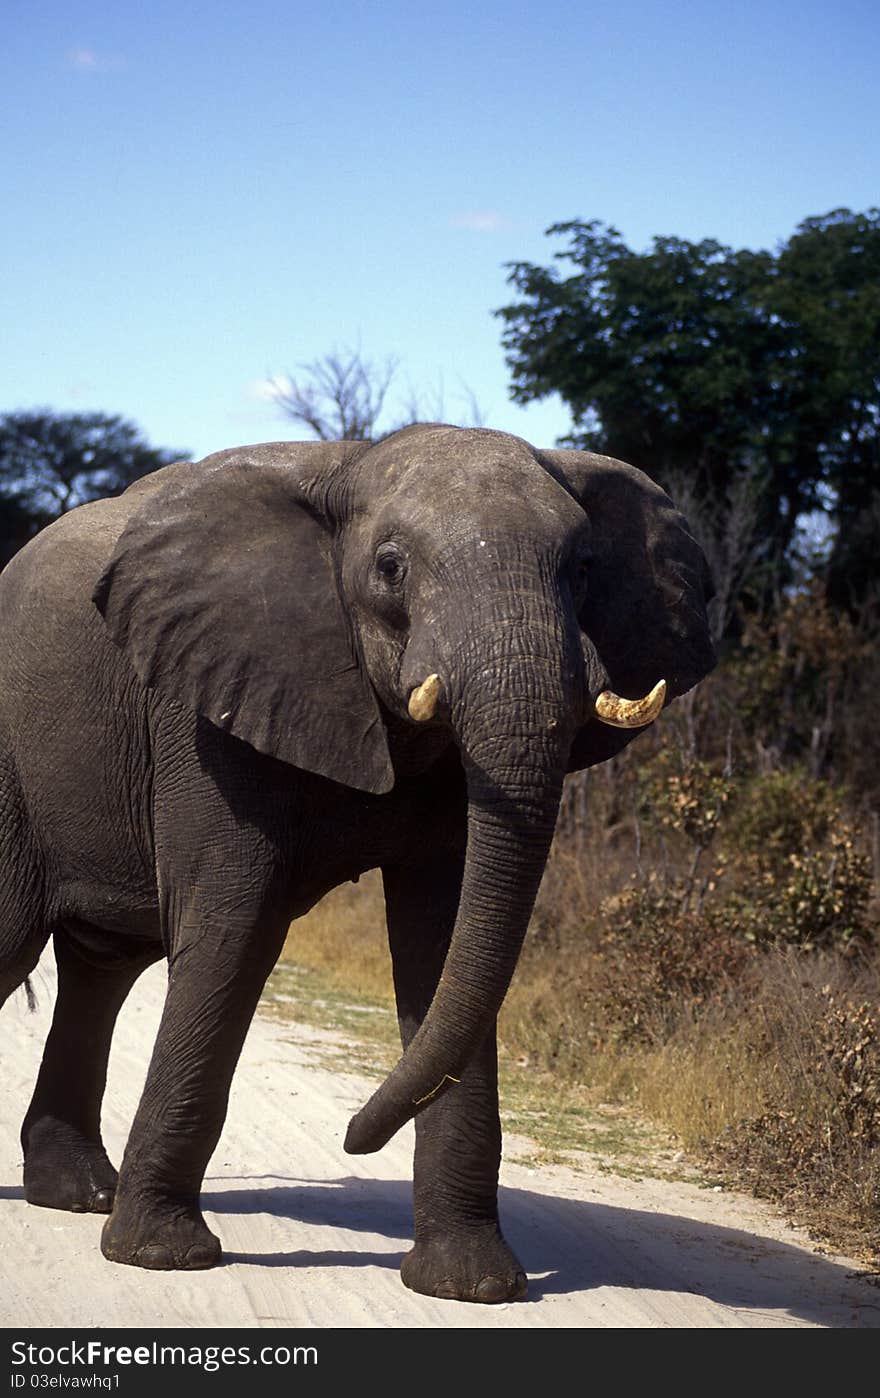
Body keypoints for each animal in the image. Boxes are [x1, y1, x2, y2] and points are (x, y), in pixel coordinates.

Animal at [0, 419, 713, 1302]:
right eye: (391, 567)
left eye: (583, 569)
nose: (350, 1137)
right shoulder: (203, 702)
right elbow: (235, 930)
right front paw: (161, 1256)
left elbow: (445, 946)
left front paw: (470, 1286)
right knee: (18, 944)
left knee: (102, 966)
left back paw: (78, 1195)